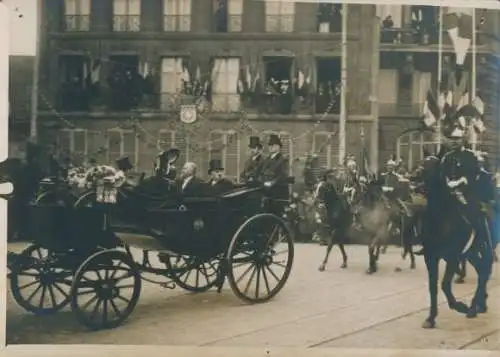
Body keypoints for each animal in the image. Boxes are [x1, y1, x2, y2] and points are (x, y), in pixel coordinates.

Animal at [416, 154, 494, 326]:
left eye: (431, 165)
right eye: (422, 162)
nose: (414, 176)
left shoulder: (452, 256)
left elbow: (445, 284)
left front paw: (459, 306)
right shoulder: (430, 256)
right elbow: (433, 286)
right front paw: (431, 318)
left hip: (480, 247)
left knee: (485, 270)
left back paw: (473, 307)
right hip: (471, 253)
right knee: (482, 271)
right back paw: (481, 304)